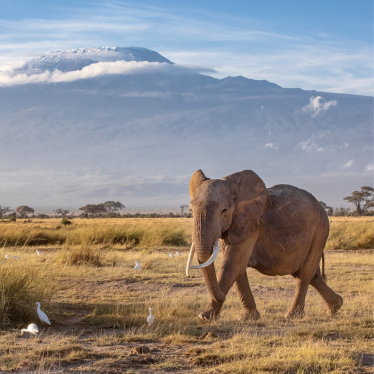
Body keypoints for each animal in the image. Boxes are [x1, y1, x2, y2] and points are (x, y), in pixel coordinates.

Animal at [186, 169, 344, 322]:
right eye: (191, 211)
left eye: (223, 211)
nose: (223, 297)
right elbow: (239, 268)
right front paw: (248, 318)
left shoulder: (252, 224)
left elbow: (232, 265)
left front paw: (204, 317)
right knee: (312, 274)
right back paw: (336, 306)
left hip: (320, 230)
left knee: (304, 273)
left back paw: (292, 315)